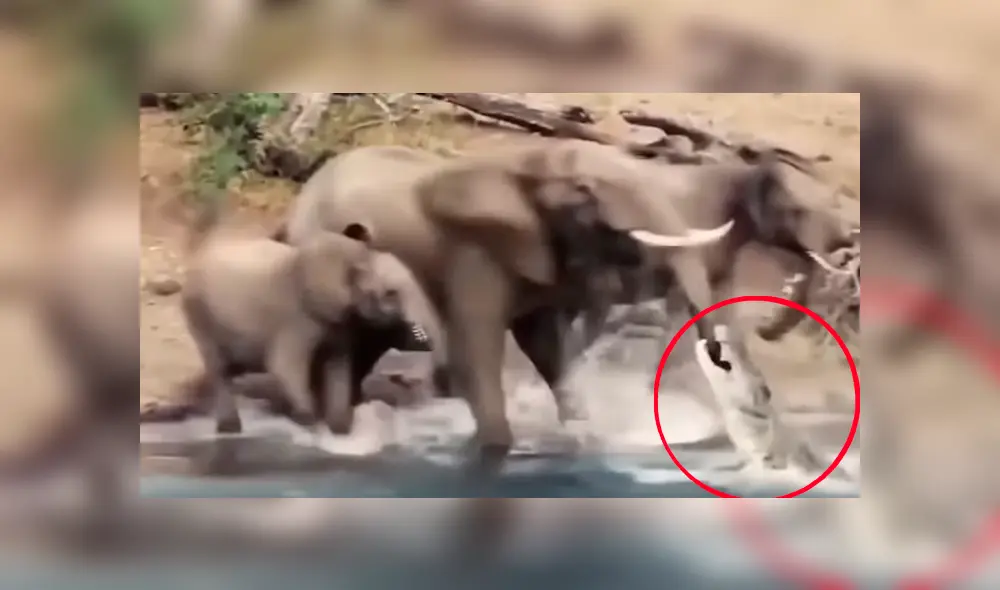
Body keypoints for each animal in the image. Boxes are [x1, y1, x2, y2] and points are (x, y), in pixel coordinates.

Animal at [181, 217, 434, 438]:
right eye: (392, 293)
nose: (404, 378)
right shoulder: (296, 316)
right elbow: (284, 365)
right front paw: (312, 423)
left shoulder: (339, 319)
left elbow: (338, 367)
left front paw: (340, 431)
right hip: (199, 314)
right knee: (220, 370)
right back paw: (230, 429)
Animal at [272, 140, 738, 468]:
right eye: (584, 191)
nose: (721, 359)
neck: (524, 161)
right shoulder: (470, 251)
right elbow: (476, 349)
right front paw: (495, 451)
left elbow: (548, 347)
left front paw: (581, 438)